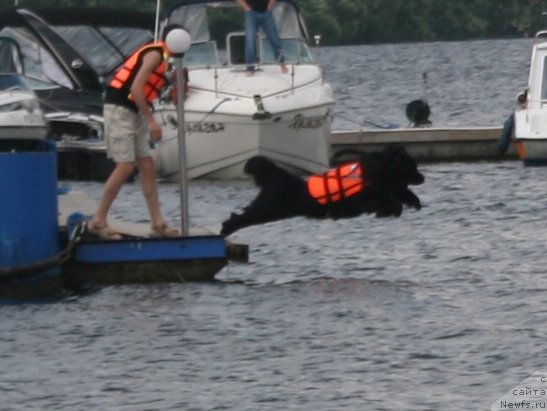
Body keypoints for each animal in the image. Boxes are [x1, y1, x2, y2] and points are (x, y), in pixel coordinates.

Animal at [220, 146, 426, 237]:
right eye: (412, 167)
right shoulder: (368, 197)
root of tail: (281, 179)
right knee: (240, 217)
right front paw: (391, 211)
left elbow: (399, 194)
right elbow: (389, 200)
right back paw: (226, 229)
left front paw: (413, 202)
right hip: (268, 209)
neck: (379, 169)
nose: (423, 178)